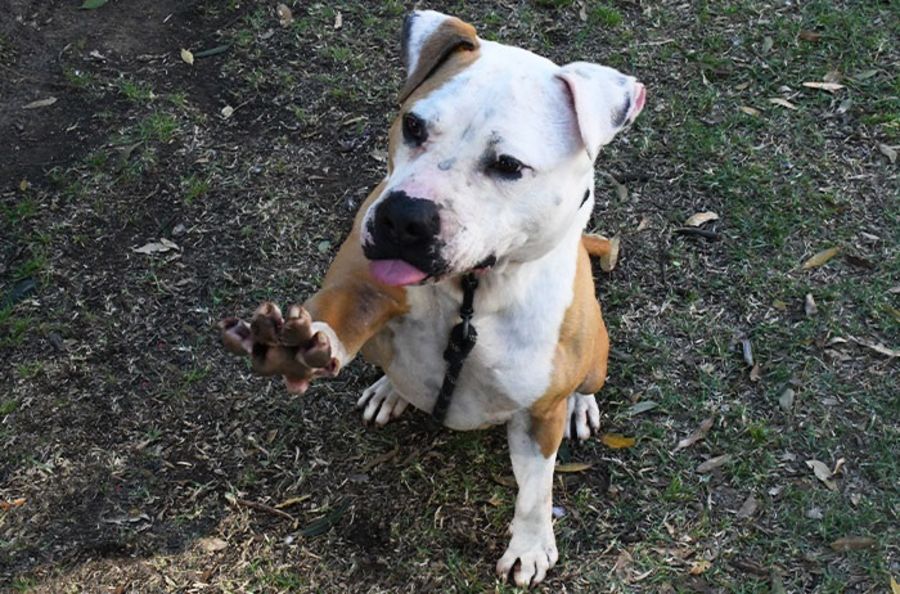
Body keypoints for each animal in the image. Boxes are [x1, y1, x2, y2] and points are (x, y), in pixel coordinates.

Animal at [220, 10, 645, 587]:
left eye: (508, 165)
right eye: (414, 126)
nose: (405, 217)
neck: (470, 293)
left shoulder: (539, 416)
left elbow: (536, 490)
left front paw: (531, 545)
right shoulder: (363, 286)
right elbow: (339, 315)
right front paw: (299, 341)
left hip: (595, 359)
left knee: (586, 385)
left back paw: (582, 404)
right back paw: (388, 388)